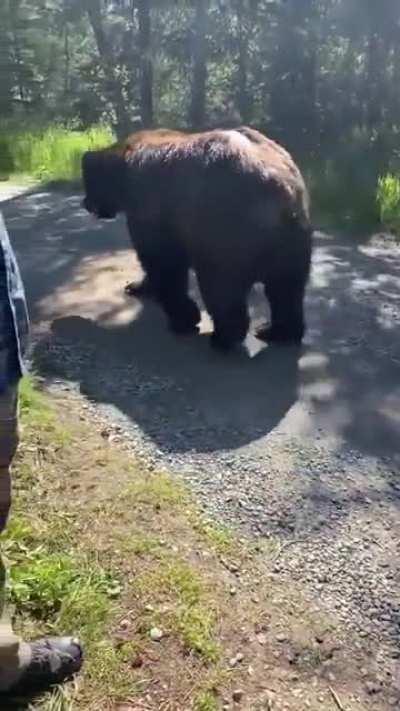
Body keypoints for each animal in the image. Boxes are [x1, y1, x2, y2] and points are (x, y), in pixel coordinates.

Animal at [81, 126, 313, 351]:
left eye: (88, 184)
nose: (85, 203)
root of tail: (279, 190)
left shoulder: (153, 207)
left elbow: (163, 262)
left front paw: (183, 318)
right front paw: (137, 286)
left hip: (224, 229)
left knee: (222, 287)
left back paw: (224, 337)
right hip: (291, 241)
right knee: (286, 288)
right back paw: (276, 331)